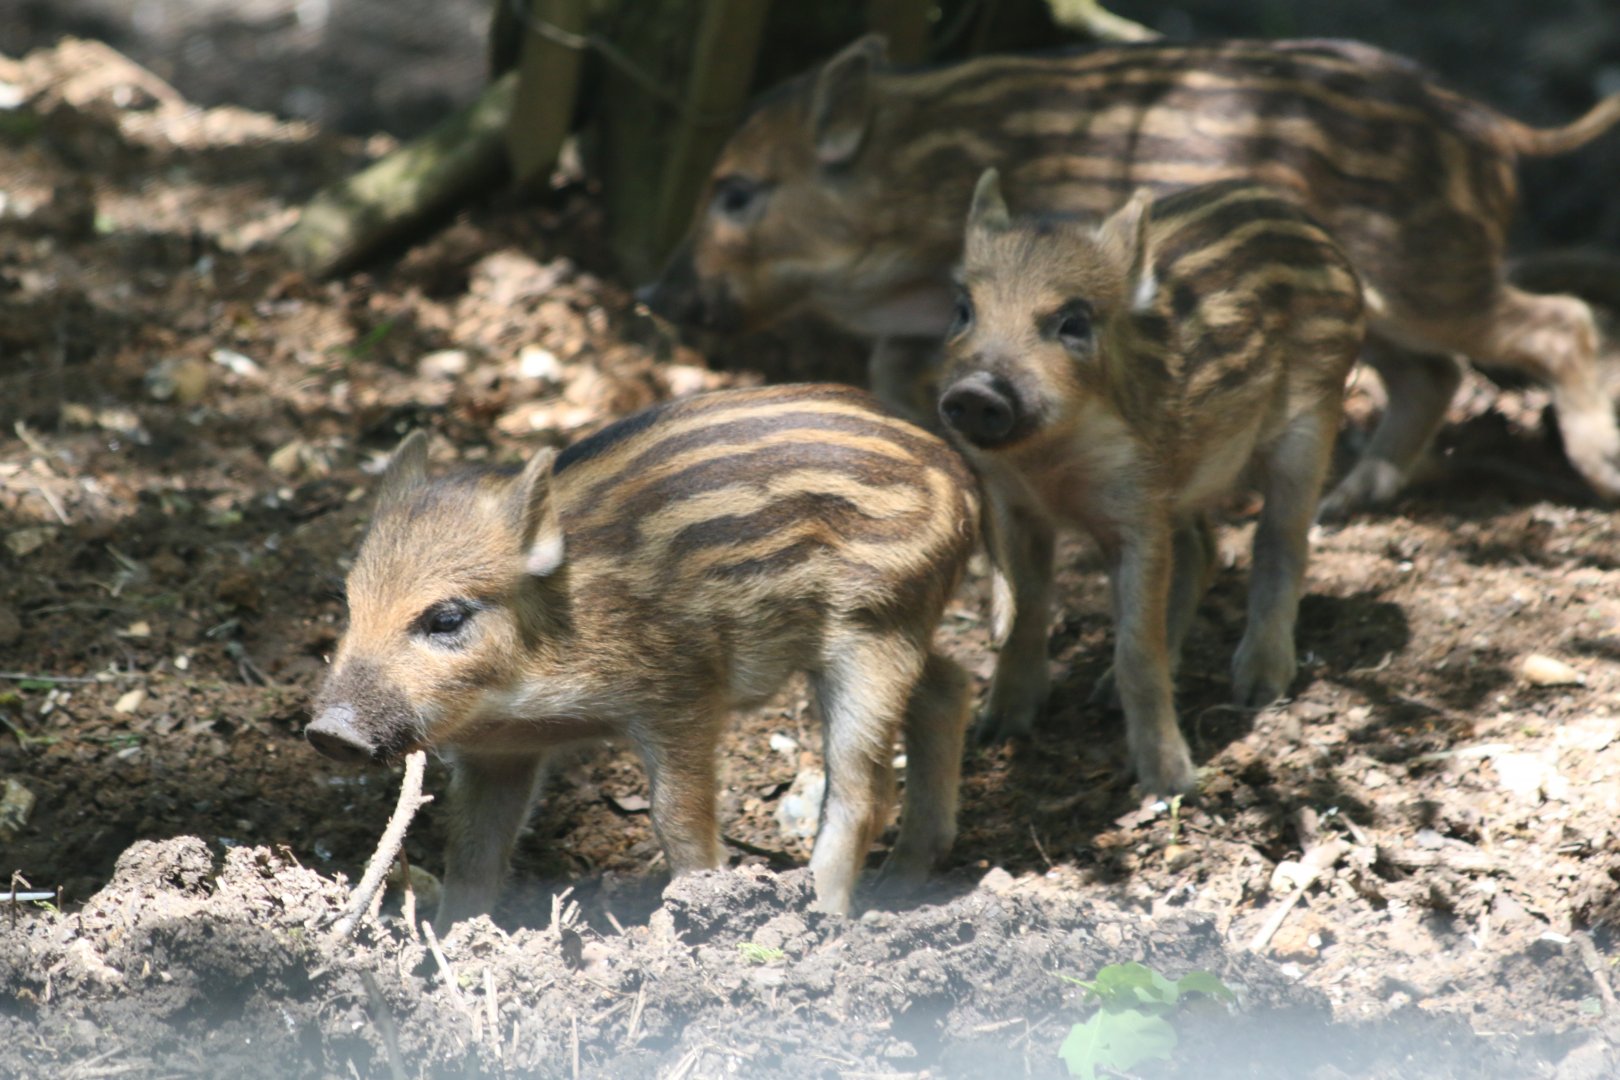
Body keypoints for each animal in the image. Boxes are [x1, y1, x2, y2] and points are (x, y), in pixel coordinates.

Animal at [306, 384, 980, 926]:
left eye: (446, 618)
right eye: (348, 602)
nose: (329, 732)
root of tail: (962, 476)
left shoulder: (684, 690)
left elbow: (678, 821)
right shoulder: (500, 751)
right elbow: (473, 854)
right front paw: (451, 947)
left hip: (872, 632)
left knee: (865, 789)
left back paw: (822, 917)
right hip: (900, 626)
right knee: (951, 684)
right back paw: (903, 879)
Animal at [640, 34, 1620, 517]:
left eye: (736, 192)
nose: (649, 295)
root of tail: (1494, 127)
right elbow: (893, 372)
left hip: (1427, 274)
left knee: (1559, 323)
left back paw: (1600, 473)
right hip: (1386, 296)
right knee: (1436, 373)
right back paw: (1350, 500)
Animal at [938, 172, 1364, 795]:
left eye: (1073, 321)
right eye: (964, 309)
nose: (975, 392)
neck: (1050, 460)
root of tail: (1311, 226)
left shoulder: (1136, 511)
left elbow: (1138, 648)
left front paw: (1172, 784)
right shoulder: (1016, 508)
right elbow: (1025, 614)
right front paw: (997, 730)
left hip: (1312, 421)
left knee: (1280, 541)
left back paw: (1258, 686)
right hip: (1186, 477)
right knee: (1204, 548)